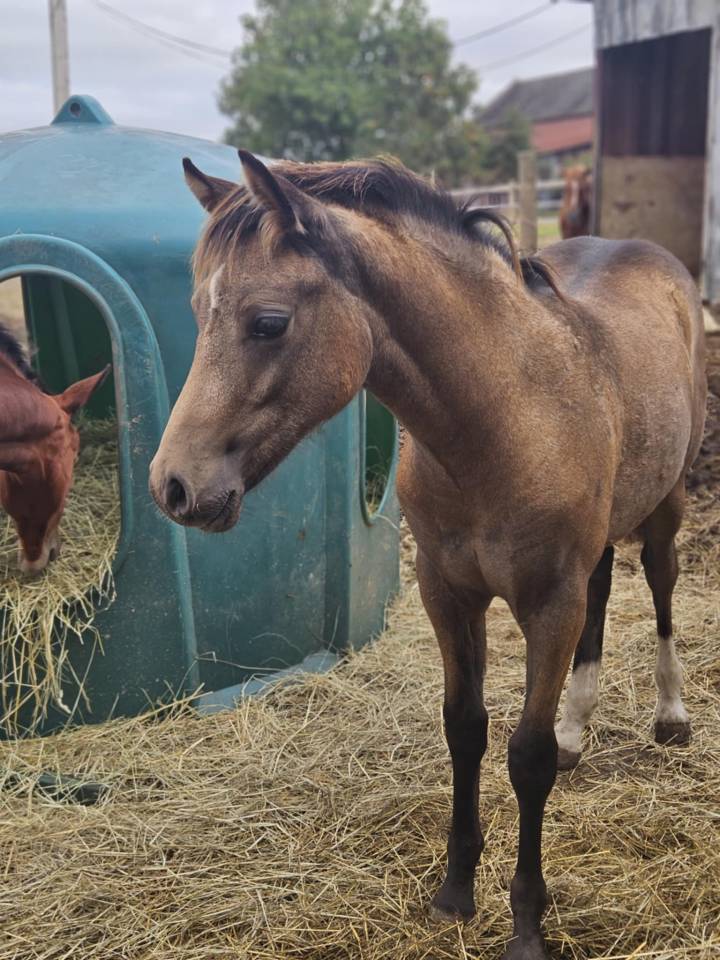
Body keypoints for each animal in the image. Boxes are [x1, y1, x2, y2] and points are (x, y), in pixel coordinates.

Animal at [149, 152, 706, 960]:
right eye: (198, 313)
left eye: (269, 322)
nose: (174, 486)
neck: (504, 421)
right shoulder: (445, 592)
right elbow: (465, 729)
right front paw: (455, 889)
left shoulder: (549, 603)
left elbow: (526, 756)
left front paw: (527, 922)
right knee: (606, 589)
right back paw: (579, 727)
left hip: (667, 500)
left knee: (660, 582)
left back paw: (670, 714)